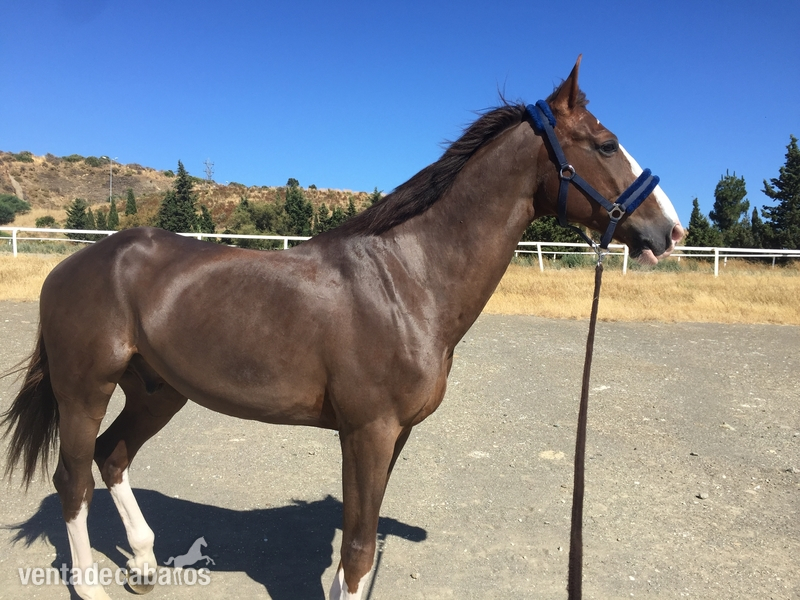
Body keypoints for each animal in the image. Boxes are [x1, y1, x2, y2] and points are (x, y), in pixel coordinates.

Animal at [2, 56, 683, 600]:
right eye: (606, 144)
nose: (669, 232)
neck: (407, 280)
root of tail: (77, 261)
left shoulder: (392, 436)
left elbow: (362, 542)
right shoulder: (367, 431)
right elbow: (356, 552)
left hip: (157, 390)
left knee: (113, 456)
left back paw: (143, 563)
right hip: (84, 389)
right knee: (74, 480)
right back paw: (92, 586)